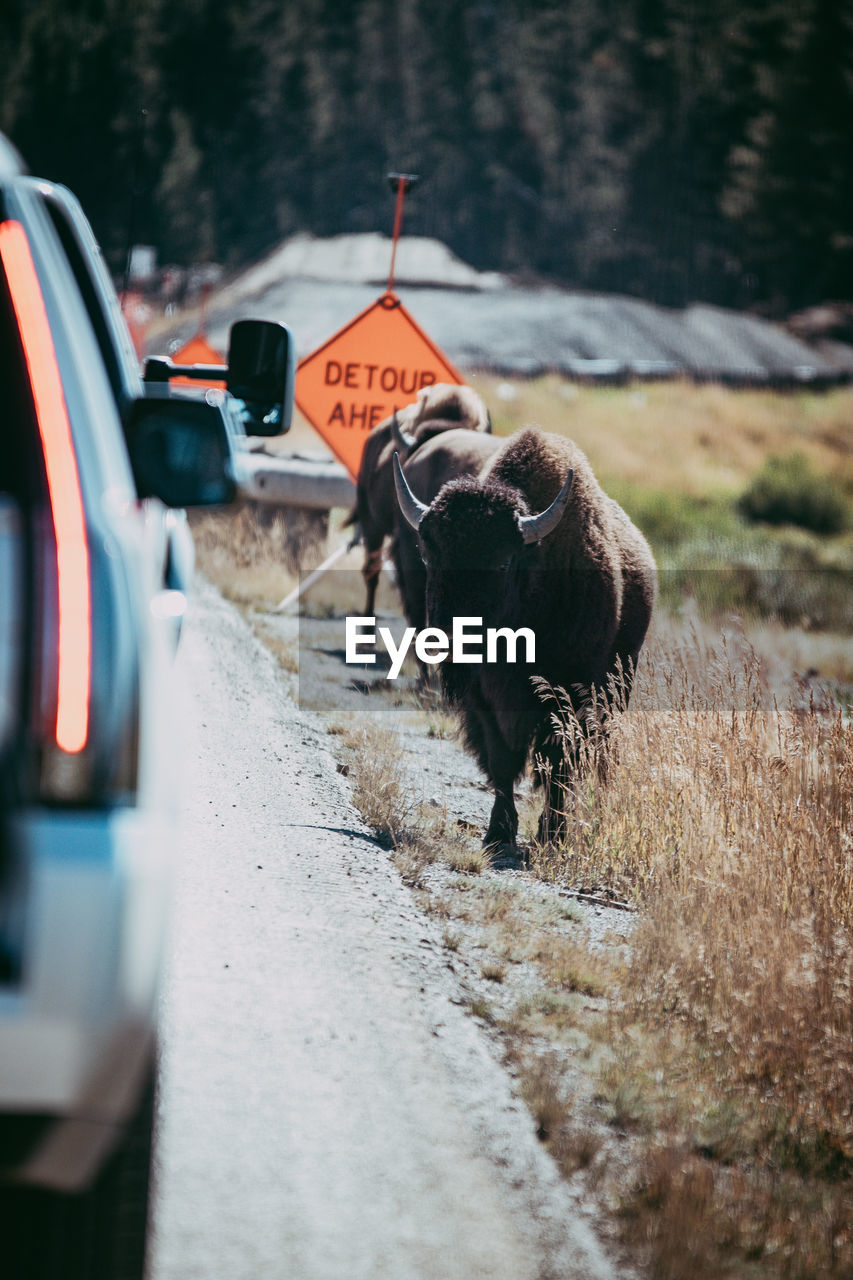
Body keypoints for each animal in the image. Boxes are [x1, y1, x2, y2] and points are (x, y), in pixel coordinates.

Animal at [389, 424, 653, 849]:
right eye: (429, 557)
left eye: (502, 563)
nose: (449, 640)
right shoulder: (483, 699)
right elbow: (502, 761)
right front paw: (498, 833)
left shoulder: (568, 695)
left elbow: (558, 764)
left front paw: (553, 834)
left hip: (617, 688)